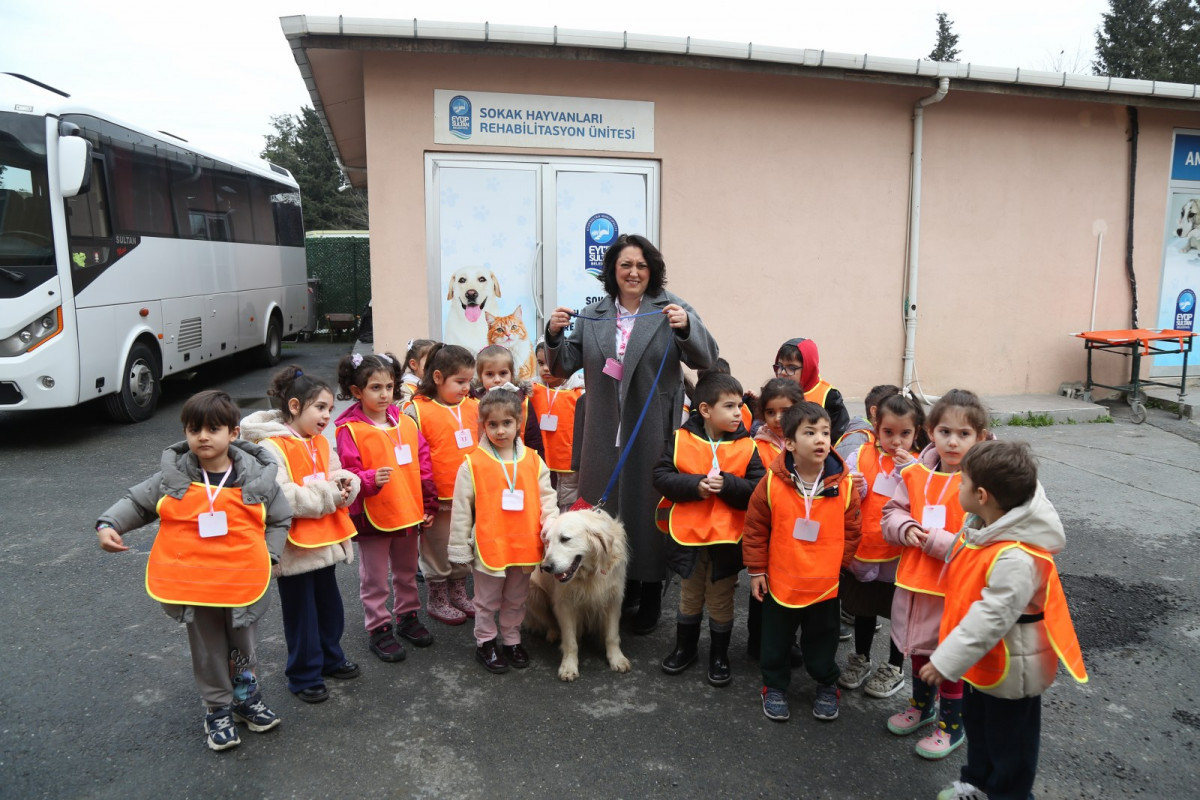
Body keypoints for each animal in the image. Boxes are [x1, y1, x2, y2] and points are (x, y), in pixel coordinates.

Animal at [524, 509, 632, 681]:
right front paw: (569, 667)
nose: (545, 567)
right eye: (548, 542)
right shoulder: (565, 604)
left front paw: (617, 659)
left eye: (565, 539)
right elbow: (570, 642)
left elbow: (612, 635)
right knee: (549, 622)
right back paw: (553, 633)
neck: (589, 572)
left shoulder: (613, 598)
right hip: (532, 592)